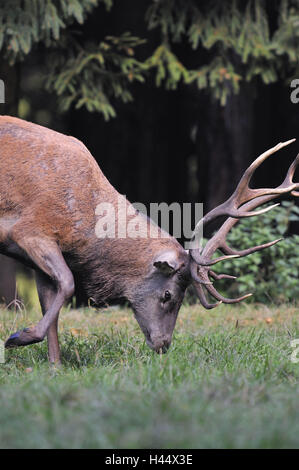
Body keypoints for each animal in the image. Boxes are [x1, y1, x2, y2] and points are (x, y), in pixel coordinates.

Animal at [0, 116, 298, 364]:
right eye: (168, 295)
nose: (164, 344)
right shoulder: (31, 230)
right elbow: (69, 282)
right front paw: (18, 338)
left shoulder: (41, 256)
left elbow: (52, 301)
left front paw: (55, 366)